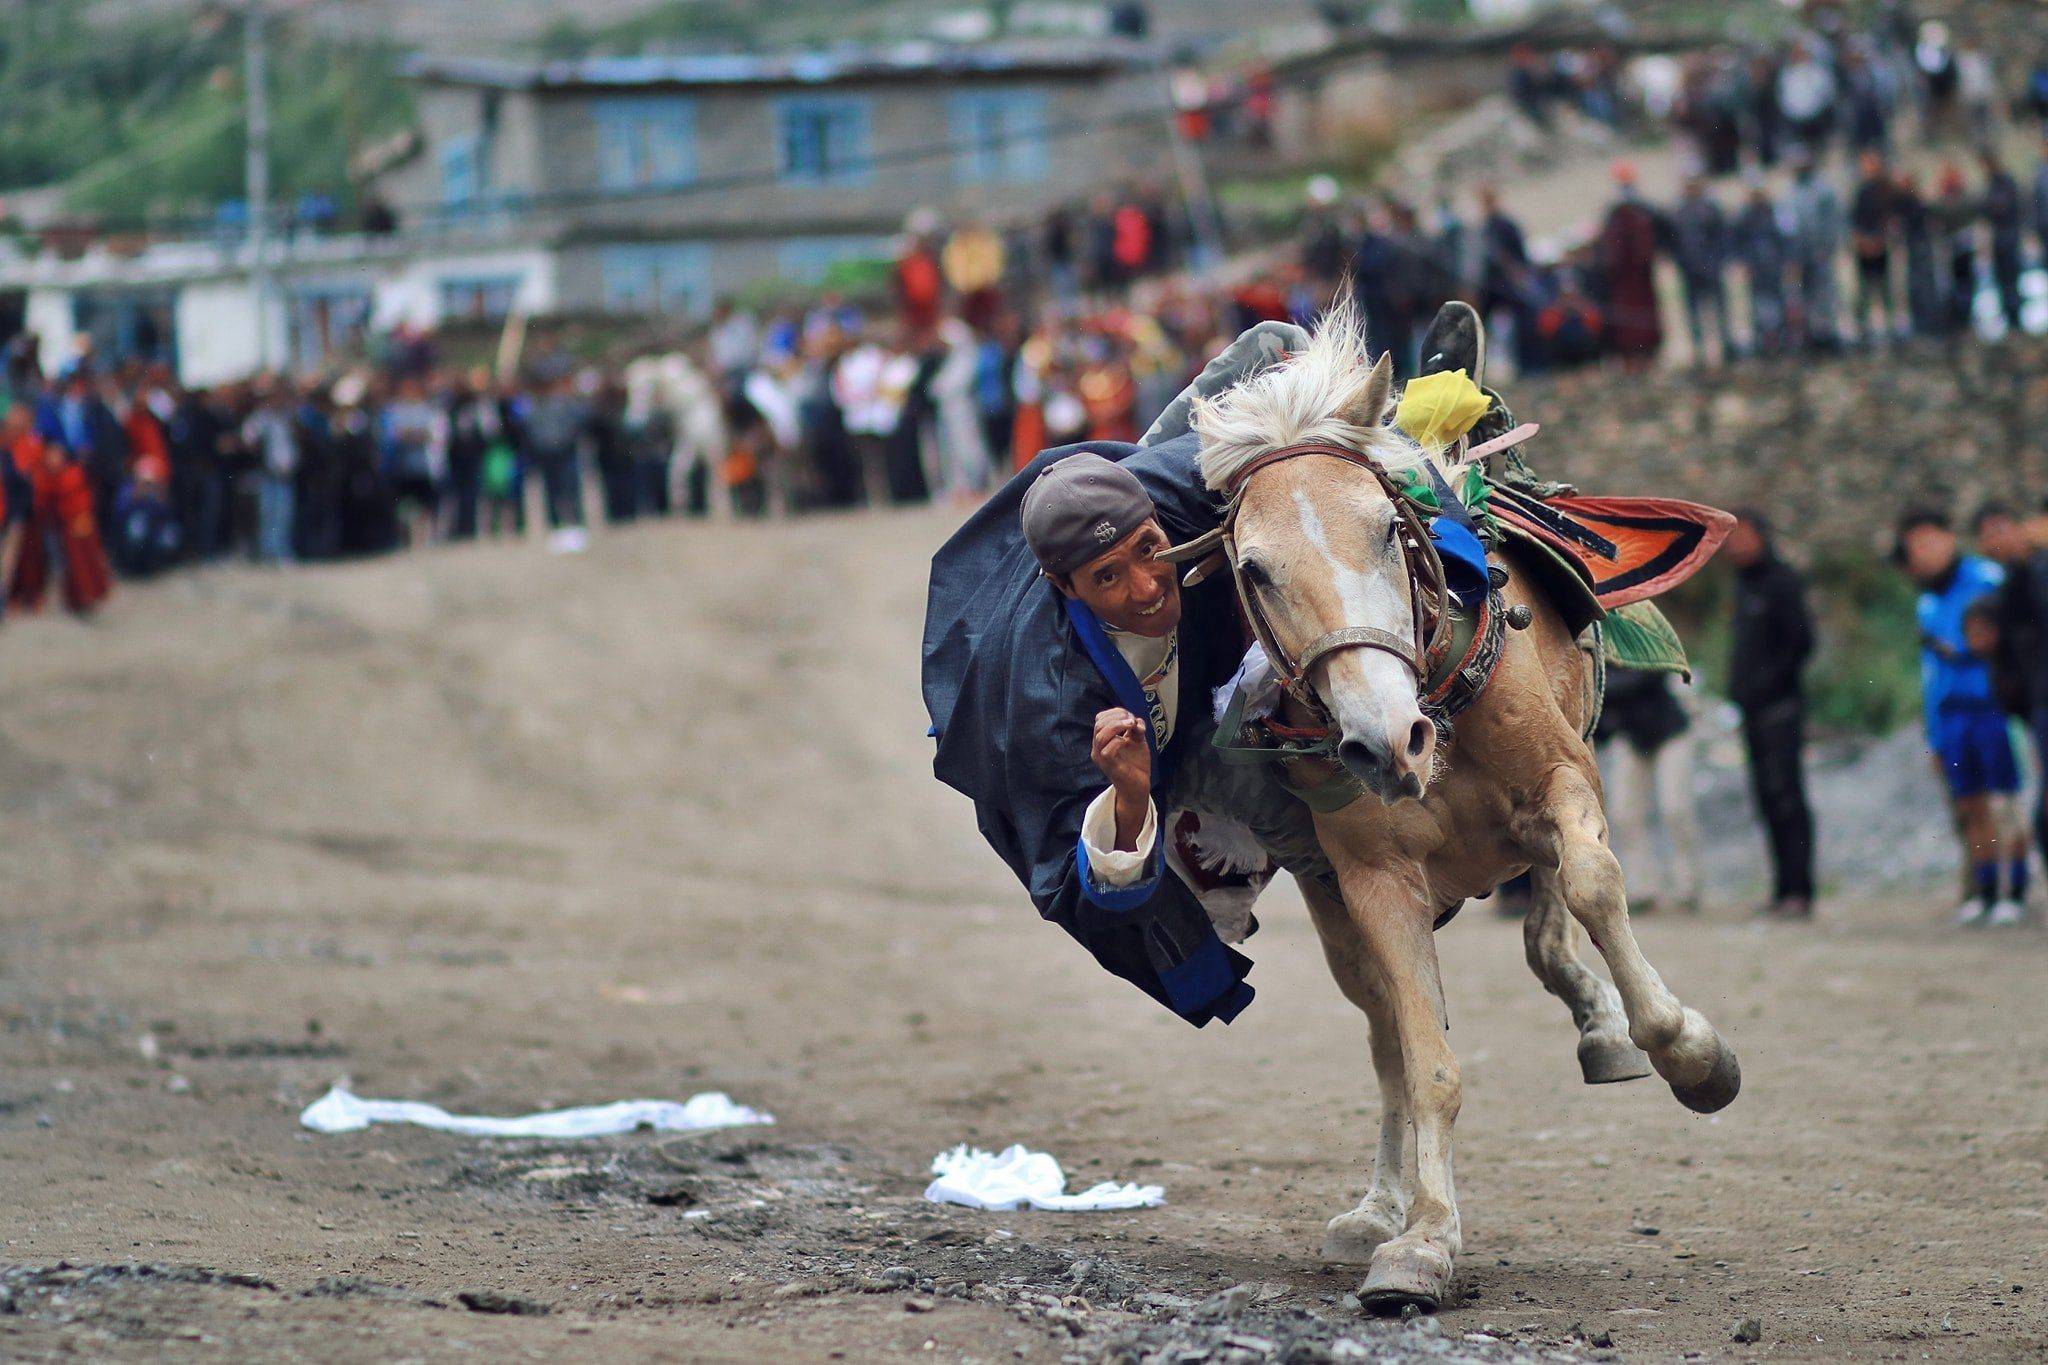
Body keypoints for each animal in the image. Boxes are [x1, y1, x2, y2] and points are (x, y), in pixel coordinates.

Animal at [1187, 298, 1744, 1309]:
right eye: (1255, 570)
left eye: (1384, 526)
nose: (1385, 738)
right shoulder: (1374, 882)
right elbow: (1422, 1058)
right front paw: (1420, 1237)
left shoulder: (1567, 780)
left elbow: (1596, 886)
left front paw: (1689, 1051)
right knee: (1383, 1028)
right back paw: (1378, 1204)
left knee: (1556, 917)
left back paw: (1604, 1024)